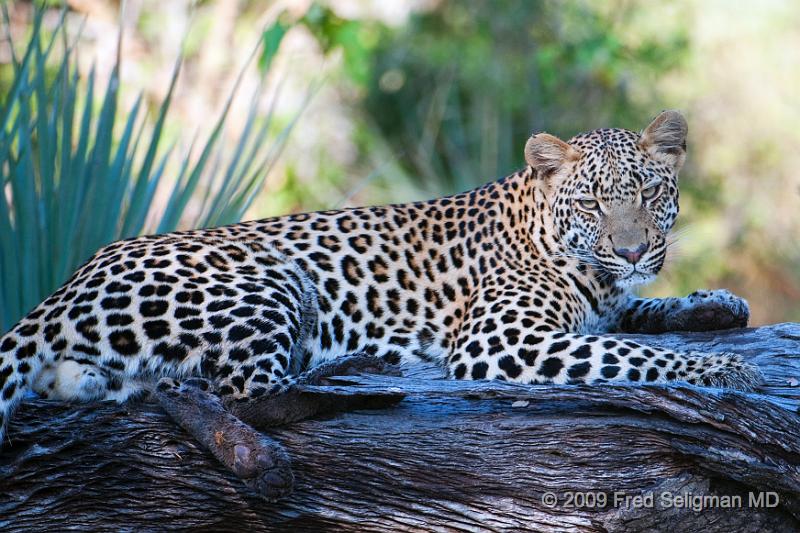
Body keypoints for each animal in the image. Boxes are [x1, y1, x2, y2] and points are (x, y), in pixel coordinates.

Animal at [0, 110, 764, 442]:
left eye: (648, 192)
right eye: (594, 202)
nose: (632, 251)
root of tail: (62, 287)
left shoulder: (600, 304)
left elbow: (637, 318)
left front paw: (715, 304)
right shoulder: (500, 339)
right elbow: (629, 352)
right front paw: (727, 371)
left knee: (159, 384)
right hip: (271, 278)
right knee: (242, 392)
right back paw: (363, 372)